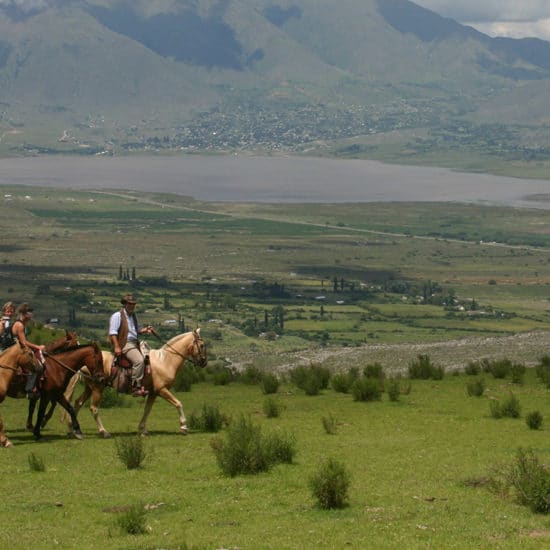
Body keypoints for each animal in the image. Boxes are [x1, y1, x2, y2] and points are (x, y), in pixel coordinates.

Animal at [64, 330, 207, 442]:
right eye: (201, 345)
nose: (204, 362)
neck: (165, 360)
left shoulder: (153, 393)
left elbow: (147, 410)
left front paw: (142, 430)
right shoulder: (162, 390)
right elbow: (178, 404)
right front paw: (184, 427)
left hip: (89, 387)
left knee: (77, 403)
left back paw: (73, 430)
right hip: (98, 388)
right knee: (93, 408)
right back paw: (103, 432)